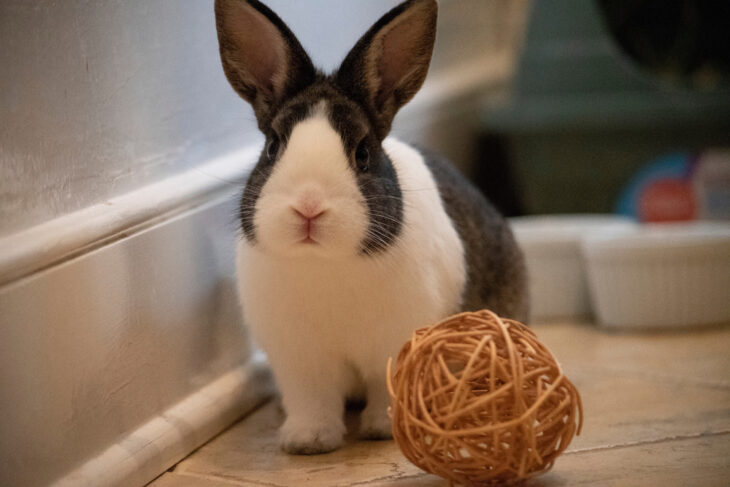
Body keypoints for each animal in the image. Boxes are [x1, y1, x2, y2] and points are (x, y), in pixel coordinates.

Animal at [214, 0, 528, 454]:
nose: (309, 208)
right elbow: (312, 399)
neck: (325, 264)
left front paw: (384, 429)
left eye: (362, 153)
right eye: (273, 147)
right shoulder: (299, 359)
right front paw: (307, 441)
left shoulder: (396, 343)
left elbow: (389, 387)